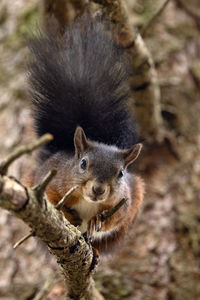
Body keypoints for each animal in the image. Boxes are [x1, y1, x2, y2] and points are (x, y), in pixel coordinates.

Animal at [23, 13, 145, 253]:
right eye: (83, 163)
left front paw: (97, 220)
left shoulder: (126, 202)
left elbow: (115, 218)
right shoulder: (51, 180)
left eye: (121, 173)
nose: (98, 189)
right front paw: (71, 216)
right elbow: (52, 201)